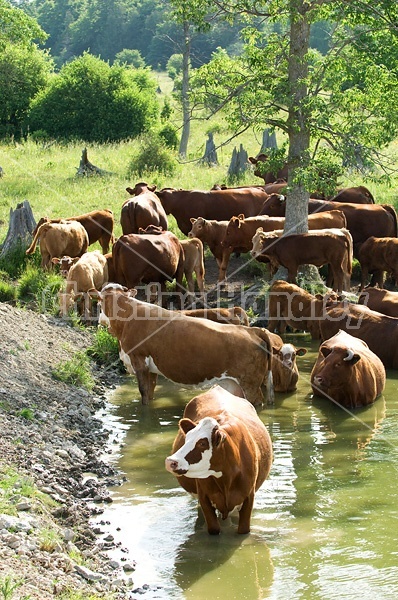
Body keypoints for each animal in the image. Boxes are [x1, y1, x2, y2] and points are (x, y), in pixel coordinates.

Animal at [96, 284, 274, 406]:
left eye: (99, 304)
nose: (99, 320)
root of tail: (253, 330)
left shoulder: (138, 360)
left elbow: (144, 393)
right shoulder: (151, 368)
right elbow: (150, 391)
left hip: (250, 384)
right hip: (240, 383)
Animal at [165, 384, 274, 536]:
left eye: (202, 443)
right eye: (186, 438)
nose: (171, 461)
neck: (226, 478)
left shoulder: (248, 497)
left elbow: (243, 530)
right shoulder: (204, 497)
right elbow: (214, 528)